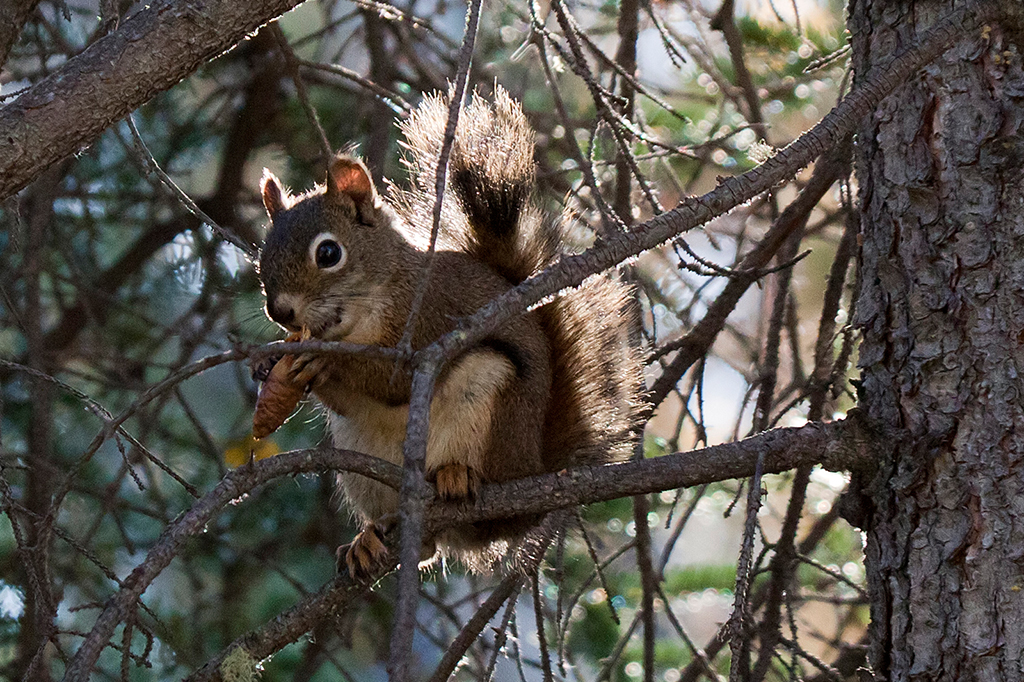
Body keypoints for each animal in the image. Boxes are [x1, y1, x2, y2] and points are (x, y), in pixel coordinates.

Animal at [256, 89, 638, 573]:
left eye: (328, 253)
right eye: (263, 253)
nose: (280, 311)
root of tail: (533, 473)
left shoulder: (431, 319)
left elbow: (395, 382)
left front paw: (323, 360)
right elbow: (346, 400)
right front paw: (271, 361)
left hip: (488, 398)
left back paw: (457, 477)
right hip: (361, 466)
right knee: (425, 547)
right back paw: (372, 540)